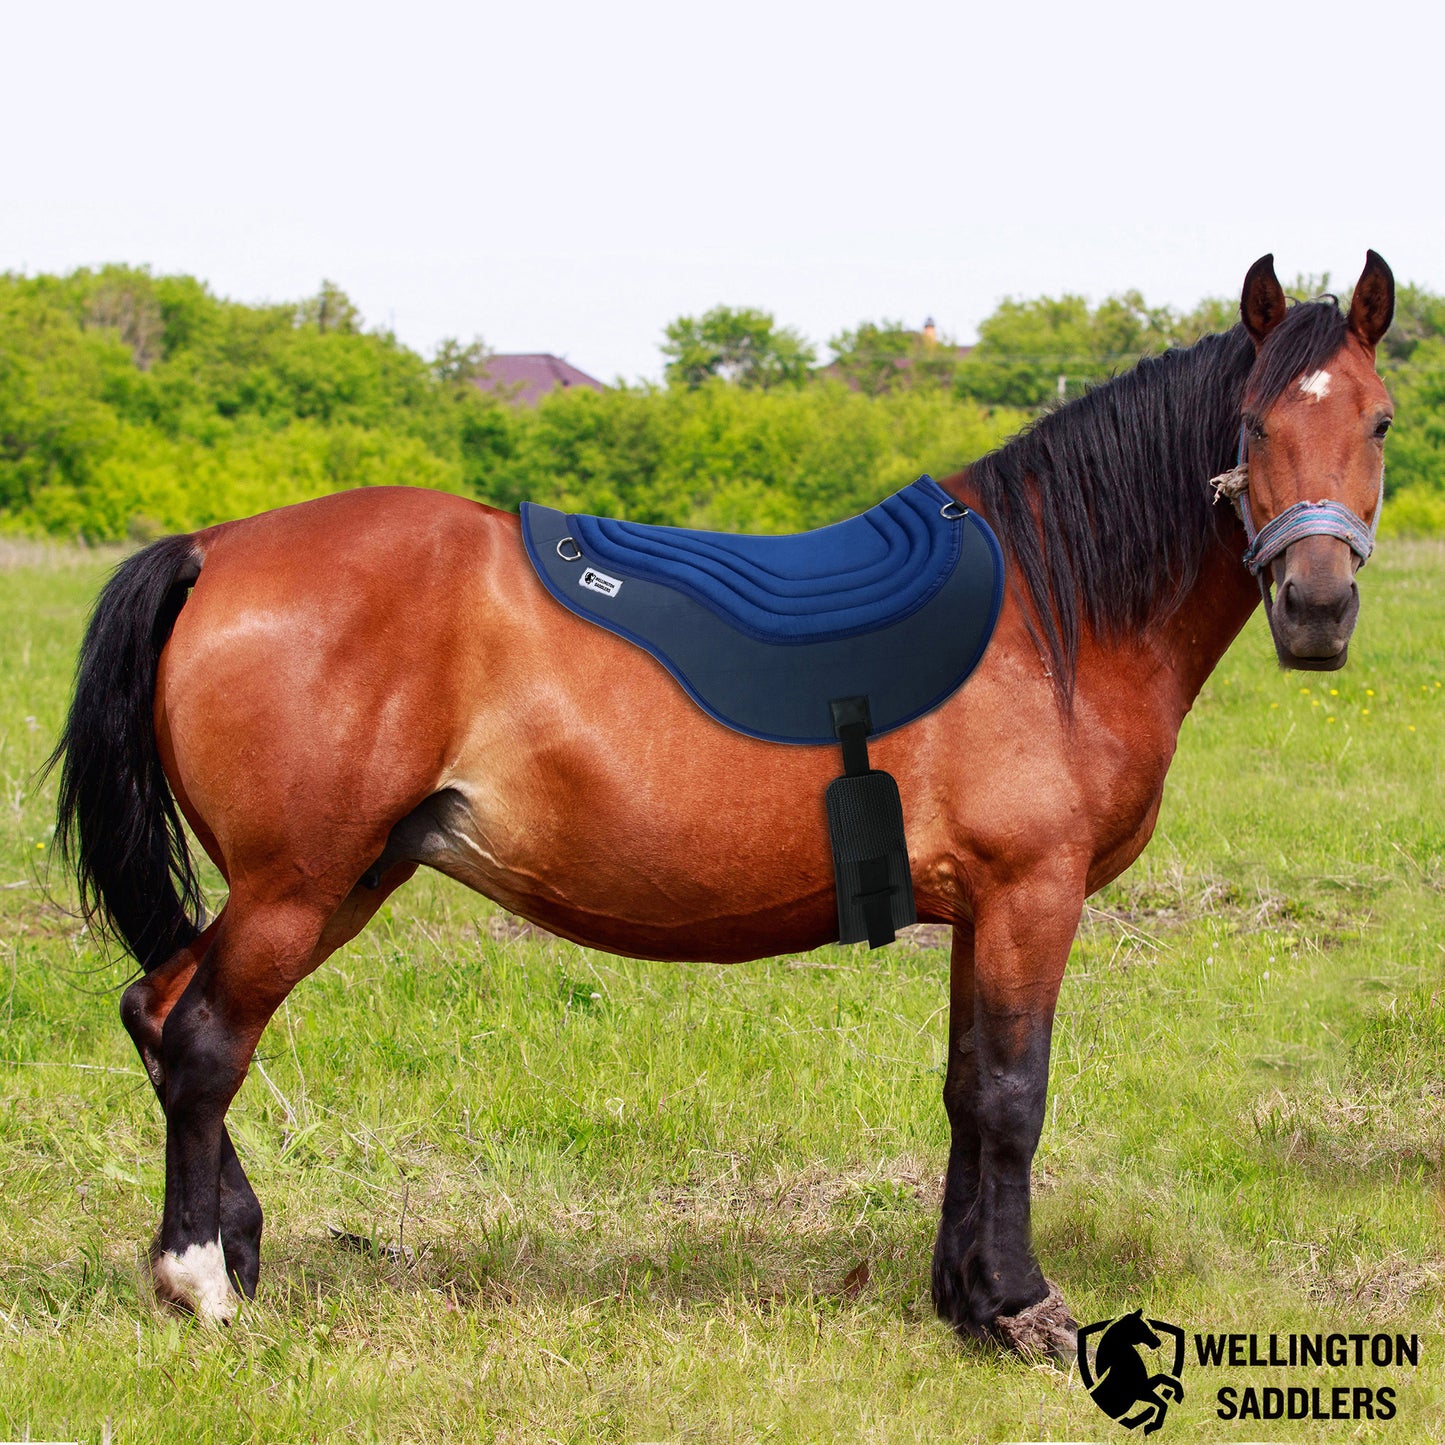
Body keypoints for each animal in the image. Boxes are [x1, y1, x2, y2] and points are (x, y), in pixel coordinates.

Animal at [50, 251, 1392, 1340]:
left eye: (1378, 421)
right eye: (1253, 421)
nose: (1317, 607)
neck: (1045, 614)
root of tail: (215, 545)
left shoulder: (983, 907)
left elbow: (965, 1090)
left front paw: (960, 1300)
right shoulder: (1032, 892)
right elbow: (1014, 1097)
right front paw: (1021, 1309)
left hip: (343, 877)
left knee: (156, 1008)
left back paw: (237, 1245)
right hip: (298, 884)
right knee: (206, 1040)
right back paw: (199, 1279)